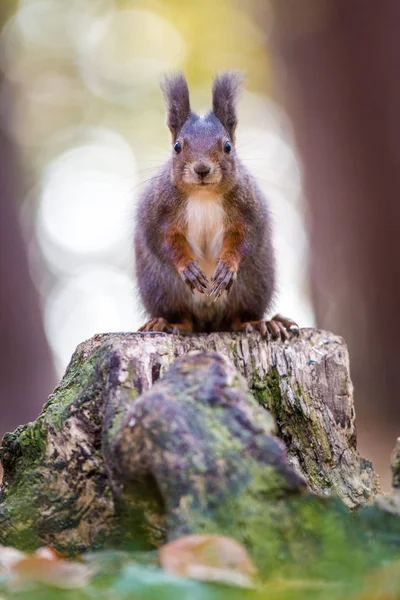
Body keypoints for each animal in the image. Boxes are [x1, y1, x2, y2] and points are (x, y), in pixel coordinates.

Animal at [134, 71, 296, 338]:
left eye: (228, 146)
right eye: (177, 147)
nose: (202, 169)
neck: (204, 195)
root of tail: (209, 323)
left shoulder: (248, 209)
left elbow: (245, 238)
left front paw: (227, 266)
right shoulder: (158, 210)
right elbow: (164, 240)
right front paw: (188, 266)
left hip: (253, 284)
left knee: (237, 318)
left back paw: (258, 322)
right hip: (162, 287)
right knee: (185, 320)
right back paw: (168, 323)